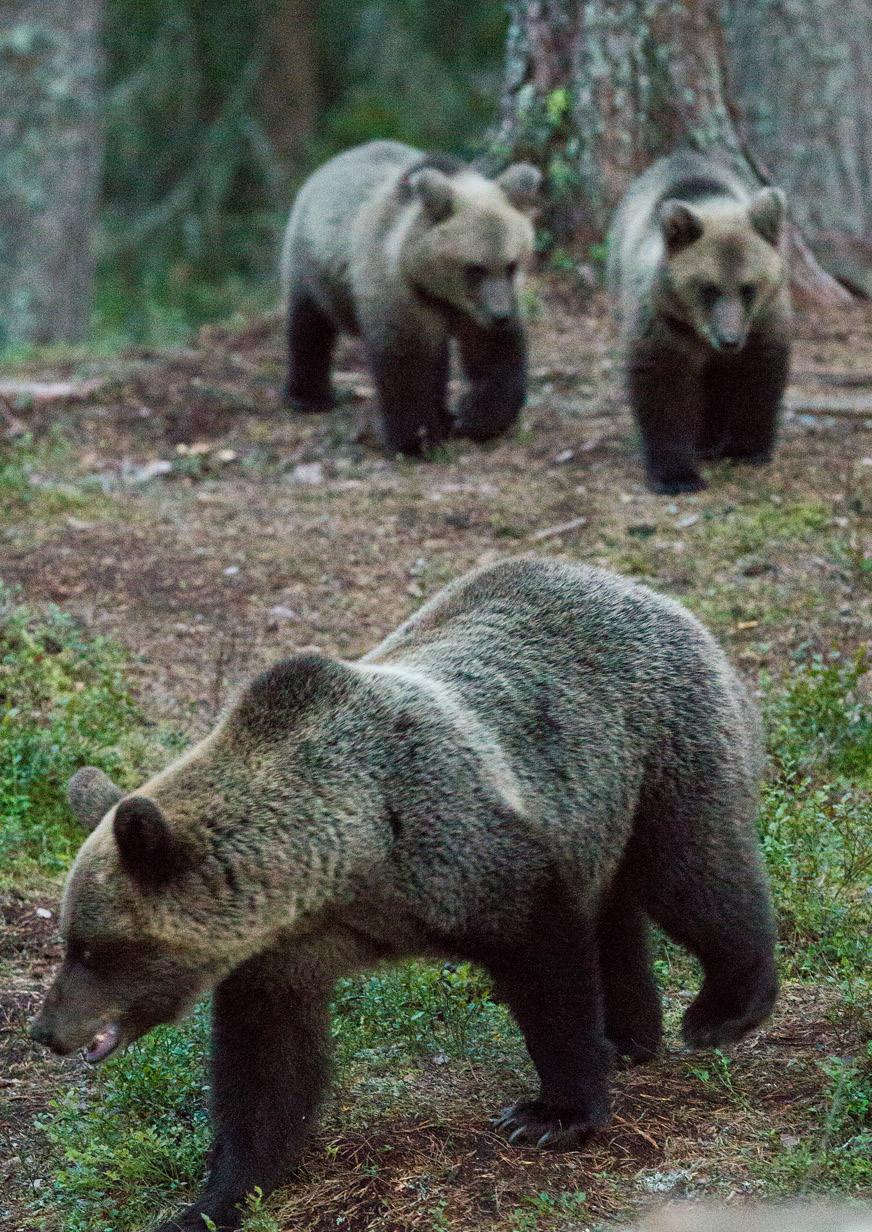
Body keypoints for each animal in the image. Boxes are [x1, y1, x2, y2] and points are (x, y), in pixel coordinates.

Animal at [30, 559, 778, 1232]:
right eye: (70, 941)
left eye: (93, 948)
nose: (47, 1032)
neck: (343, 859)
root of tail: (647, 590)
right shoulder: (290, 951)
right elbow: (267, 1070)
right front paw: (215, 1200)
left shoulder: (459, 853)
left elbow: (547, 968)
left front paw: (552, 1114)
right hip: (590, 813)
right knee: (616, 913)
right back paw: (628, 1036)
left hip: (658, 748)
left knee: (694, 874)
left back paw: (722, 1010)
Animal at [280, 141, 536, 458]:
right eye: (474, 268)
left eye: (511, 264)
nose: (500, 316)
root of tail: (332, 163)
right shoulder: (399, 291)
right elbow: (407, 362)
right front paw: (417, 439)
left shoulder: (475, 310)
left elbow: (493, 355)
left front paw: (474, 417)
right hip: (313, 265)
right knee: (309, 326)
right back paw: (308, 397)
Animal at [605, 154, 788, 495]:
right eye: (709, 288)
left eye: (748, 288)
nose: (729, 339)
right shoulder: (661, 322)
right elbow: (663, 386)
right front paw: (677, 476)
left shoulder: (763, 320)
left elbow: (757, 372)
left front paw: (745, 448)